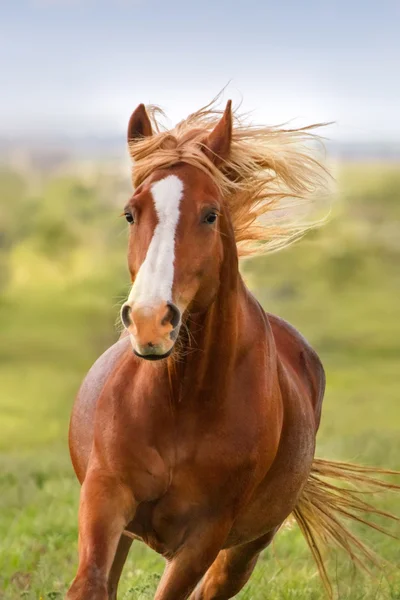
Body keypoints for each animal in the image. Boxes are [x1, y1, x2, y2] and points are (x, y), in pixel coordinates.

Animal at [67, 98, 398, 600]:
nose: (150, 322)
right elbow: (89, 585)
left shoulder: (205, 536)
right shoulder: (104, 499)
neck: (180, 402)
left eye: (209, 214)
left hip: (244, 551)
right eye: (130, 213)